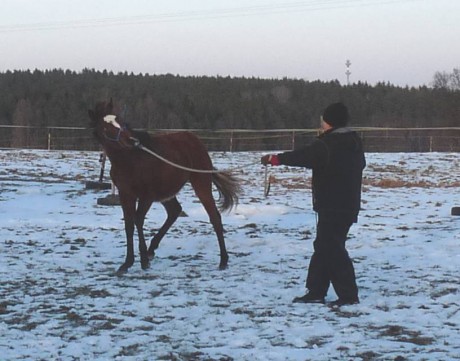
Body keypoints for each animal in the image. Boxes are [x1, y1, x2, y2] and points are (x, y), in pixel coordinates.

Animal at [87, 98, 243, 272]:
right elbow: (129, 224)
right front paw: (128, 262)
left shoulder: (146, 196)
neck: (130, 160)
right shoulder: (125, 194)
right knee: (175, 211)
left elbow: (138, 220)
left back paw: (223, 260)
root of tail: (195, 140)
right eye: (105, 127)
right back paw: (151, 250)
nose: (131, 141)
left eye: (120, 121)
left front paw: (143, 261)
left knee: (214, 217)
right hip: (167, 192)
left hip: (200, 184)